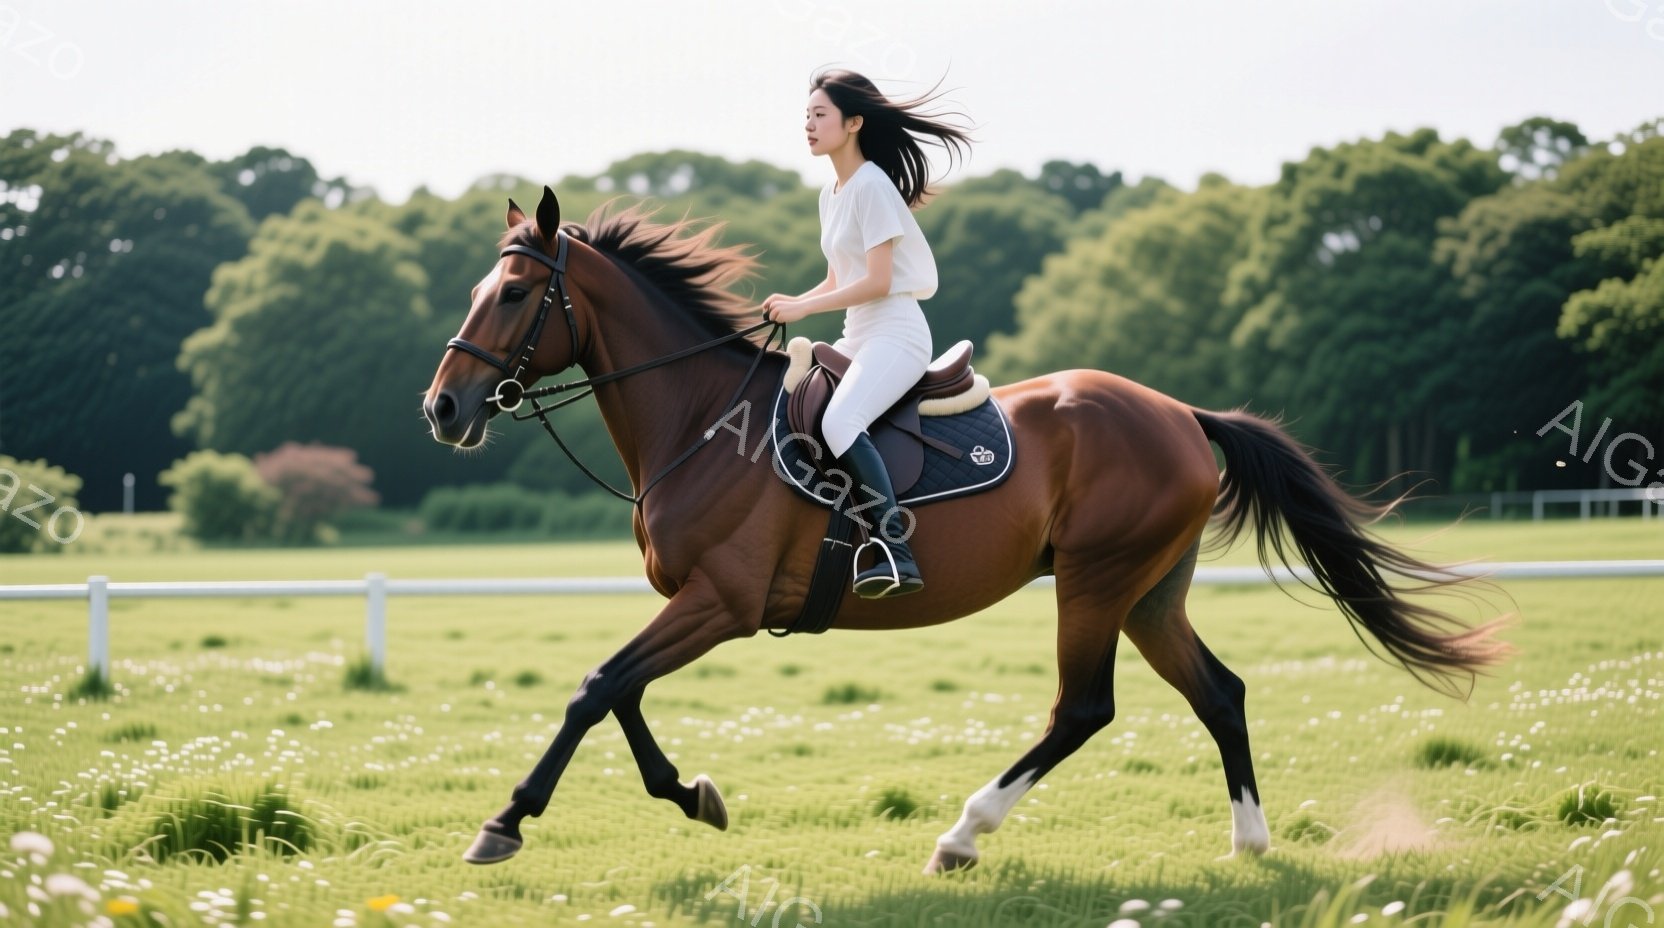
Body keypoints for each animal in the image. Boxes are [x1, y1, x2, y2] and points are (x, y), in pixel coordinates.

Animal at [421, 186, 1509, 872]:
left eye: (513, 293)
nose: (442, 409)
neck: (695, 418)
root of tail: (1179, 413)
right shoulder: (698, 604)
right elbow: (622, 695)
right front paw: (690, 793)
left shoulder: (719, 602)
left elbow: (596, 688)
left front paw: (505, 821)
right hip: (1150, 591)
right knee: (1220, 693)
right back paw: (1247, 843)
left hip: (1095, 582)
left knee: (1082, 709)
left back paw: (963, 834)